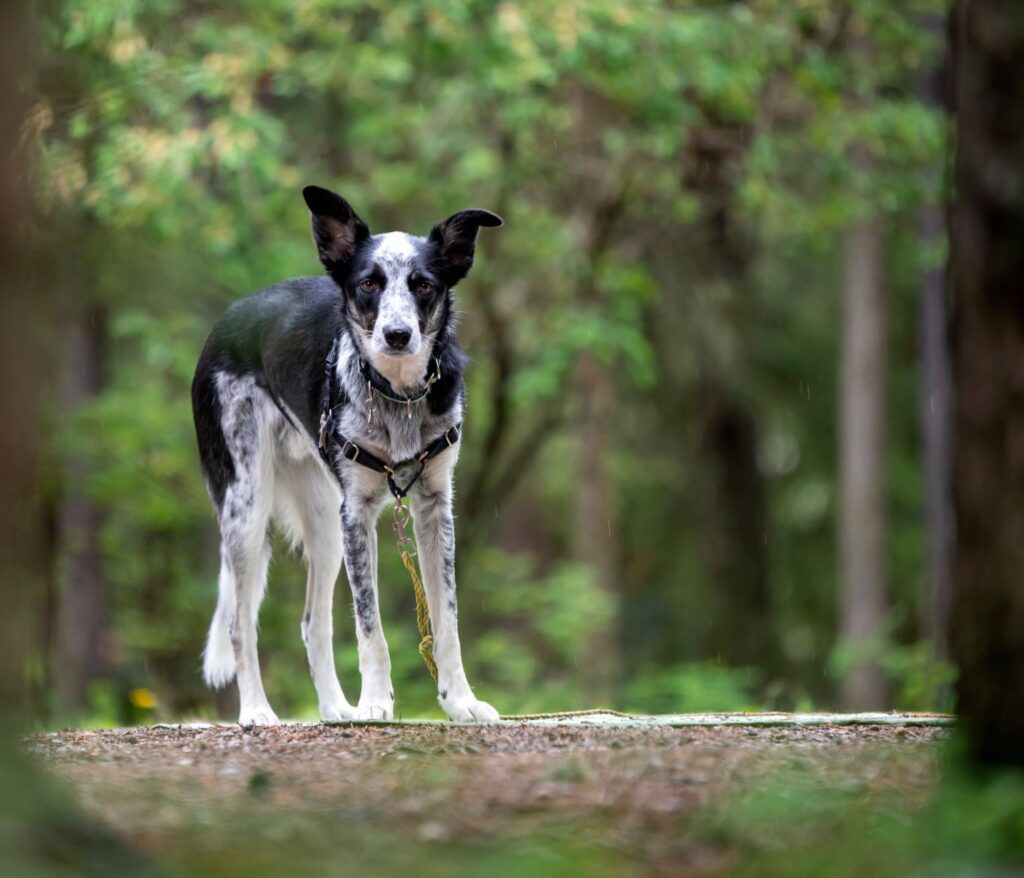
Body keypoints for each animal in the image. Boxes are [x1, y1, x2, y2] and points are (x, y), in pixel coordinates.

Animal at [190, 181, 501, 721]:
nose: (397, 335)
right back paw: (256, 711)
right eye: (368, 284)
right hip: (247, 508)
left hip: (324, 524)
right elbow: (370, 626)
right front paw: (376, 702)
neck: (398, 397)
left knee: (312, 624)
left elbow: (447, 623)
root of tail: (227, 320)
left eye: (424, 285)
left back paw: (337, 709)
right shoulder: (358, 513)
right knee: (239, 625)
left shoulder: (434, 511)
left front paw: (460, 702)